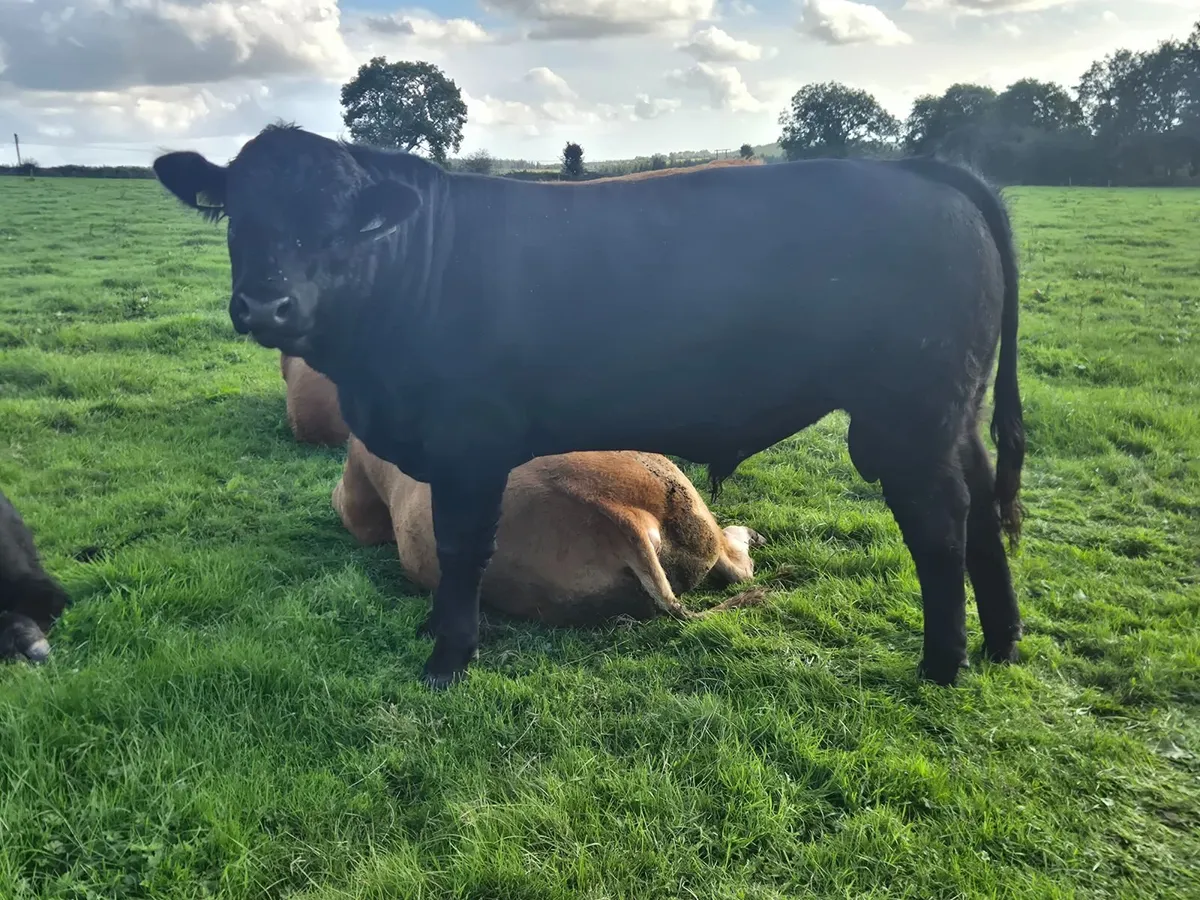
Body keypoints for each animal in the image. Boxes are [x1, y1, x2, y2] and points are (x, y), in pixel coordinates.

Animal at [152, 123, 1027, 690]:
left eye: (339, 219)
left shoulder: (470, 444)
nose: (267, 305)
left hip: (909, 419)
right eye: (238, 212)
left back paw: (943, 664)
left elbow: (463, 548)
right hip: (953, 415)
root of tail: (920, 169)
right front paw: (439, 630)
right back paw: (1004, 641)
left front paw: (447, 657)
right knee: (984, 508)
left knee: (940, 528)